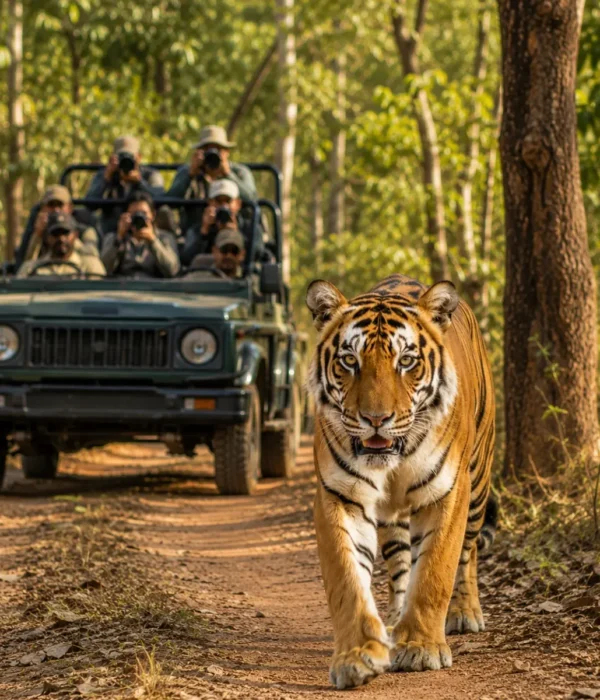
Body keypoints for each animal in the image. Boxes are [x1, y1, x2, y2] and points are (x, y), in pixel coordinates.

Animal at [305, 273, 496, 690]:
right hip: (392, 519)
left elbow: (437, 569)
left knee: (469, 552)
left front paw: (422, 648)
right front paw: (356, 656)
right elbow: (347, 579)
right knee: (400, 564)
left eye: (406, 361)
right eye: (350, 360)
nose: (376, 419)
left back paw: (464, 612)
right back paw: (393, 621)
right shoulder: (339, 495)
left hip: (478, 483)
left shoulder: (448, 491)